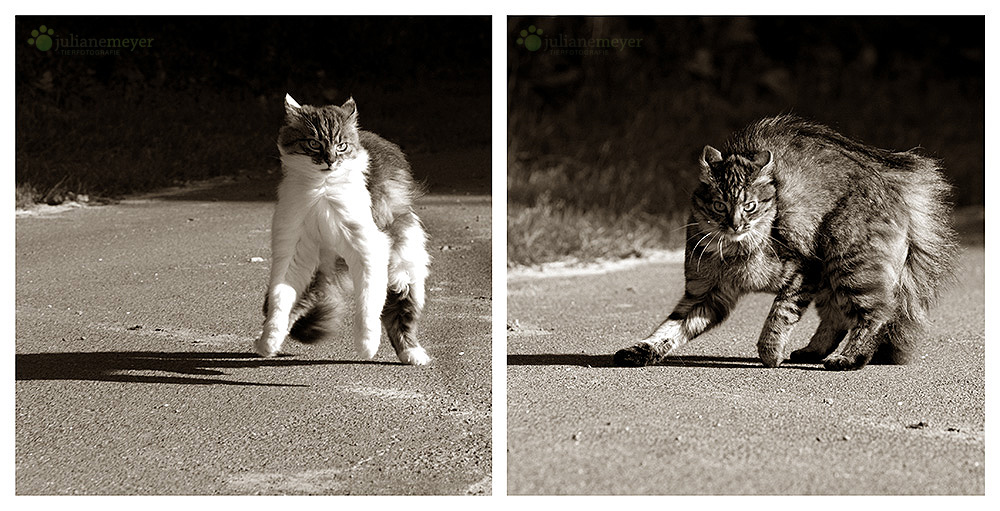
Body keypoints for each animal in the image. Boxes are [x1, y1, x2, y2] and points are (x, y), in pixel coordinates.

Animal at [254, 94, 430, 366]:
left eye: (342, 146)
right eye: (314, 143)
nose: (330, 159)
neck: (322, 188)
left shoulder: (368, 249)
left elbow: (368, 303)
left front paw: (367, 345)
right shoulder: (293, 252)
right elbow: (279, 300)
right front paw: (269, 338)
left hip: (403, 263)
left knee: (400, 311)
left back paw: (412, 353)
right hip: (318, 270)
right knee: (297, 303)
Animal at [612, 115, 956, 372]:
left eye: (749, 206)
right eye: (719, 206)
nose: (735, 224)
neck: (733, 254)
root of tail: (891, 181)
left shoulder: (804, 271)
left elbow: (780, 314)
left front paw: (770, 352)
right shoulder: (705, 294)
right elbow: (669, 330)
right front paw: (641, 350)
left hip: (847, 262)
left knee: (876, 314)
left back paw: (847, 359)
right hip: (834, 274)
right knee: (836, 317)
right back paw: (813, 351)